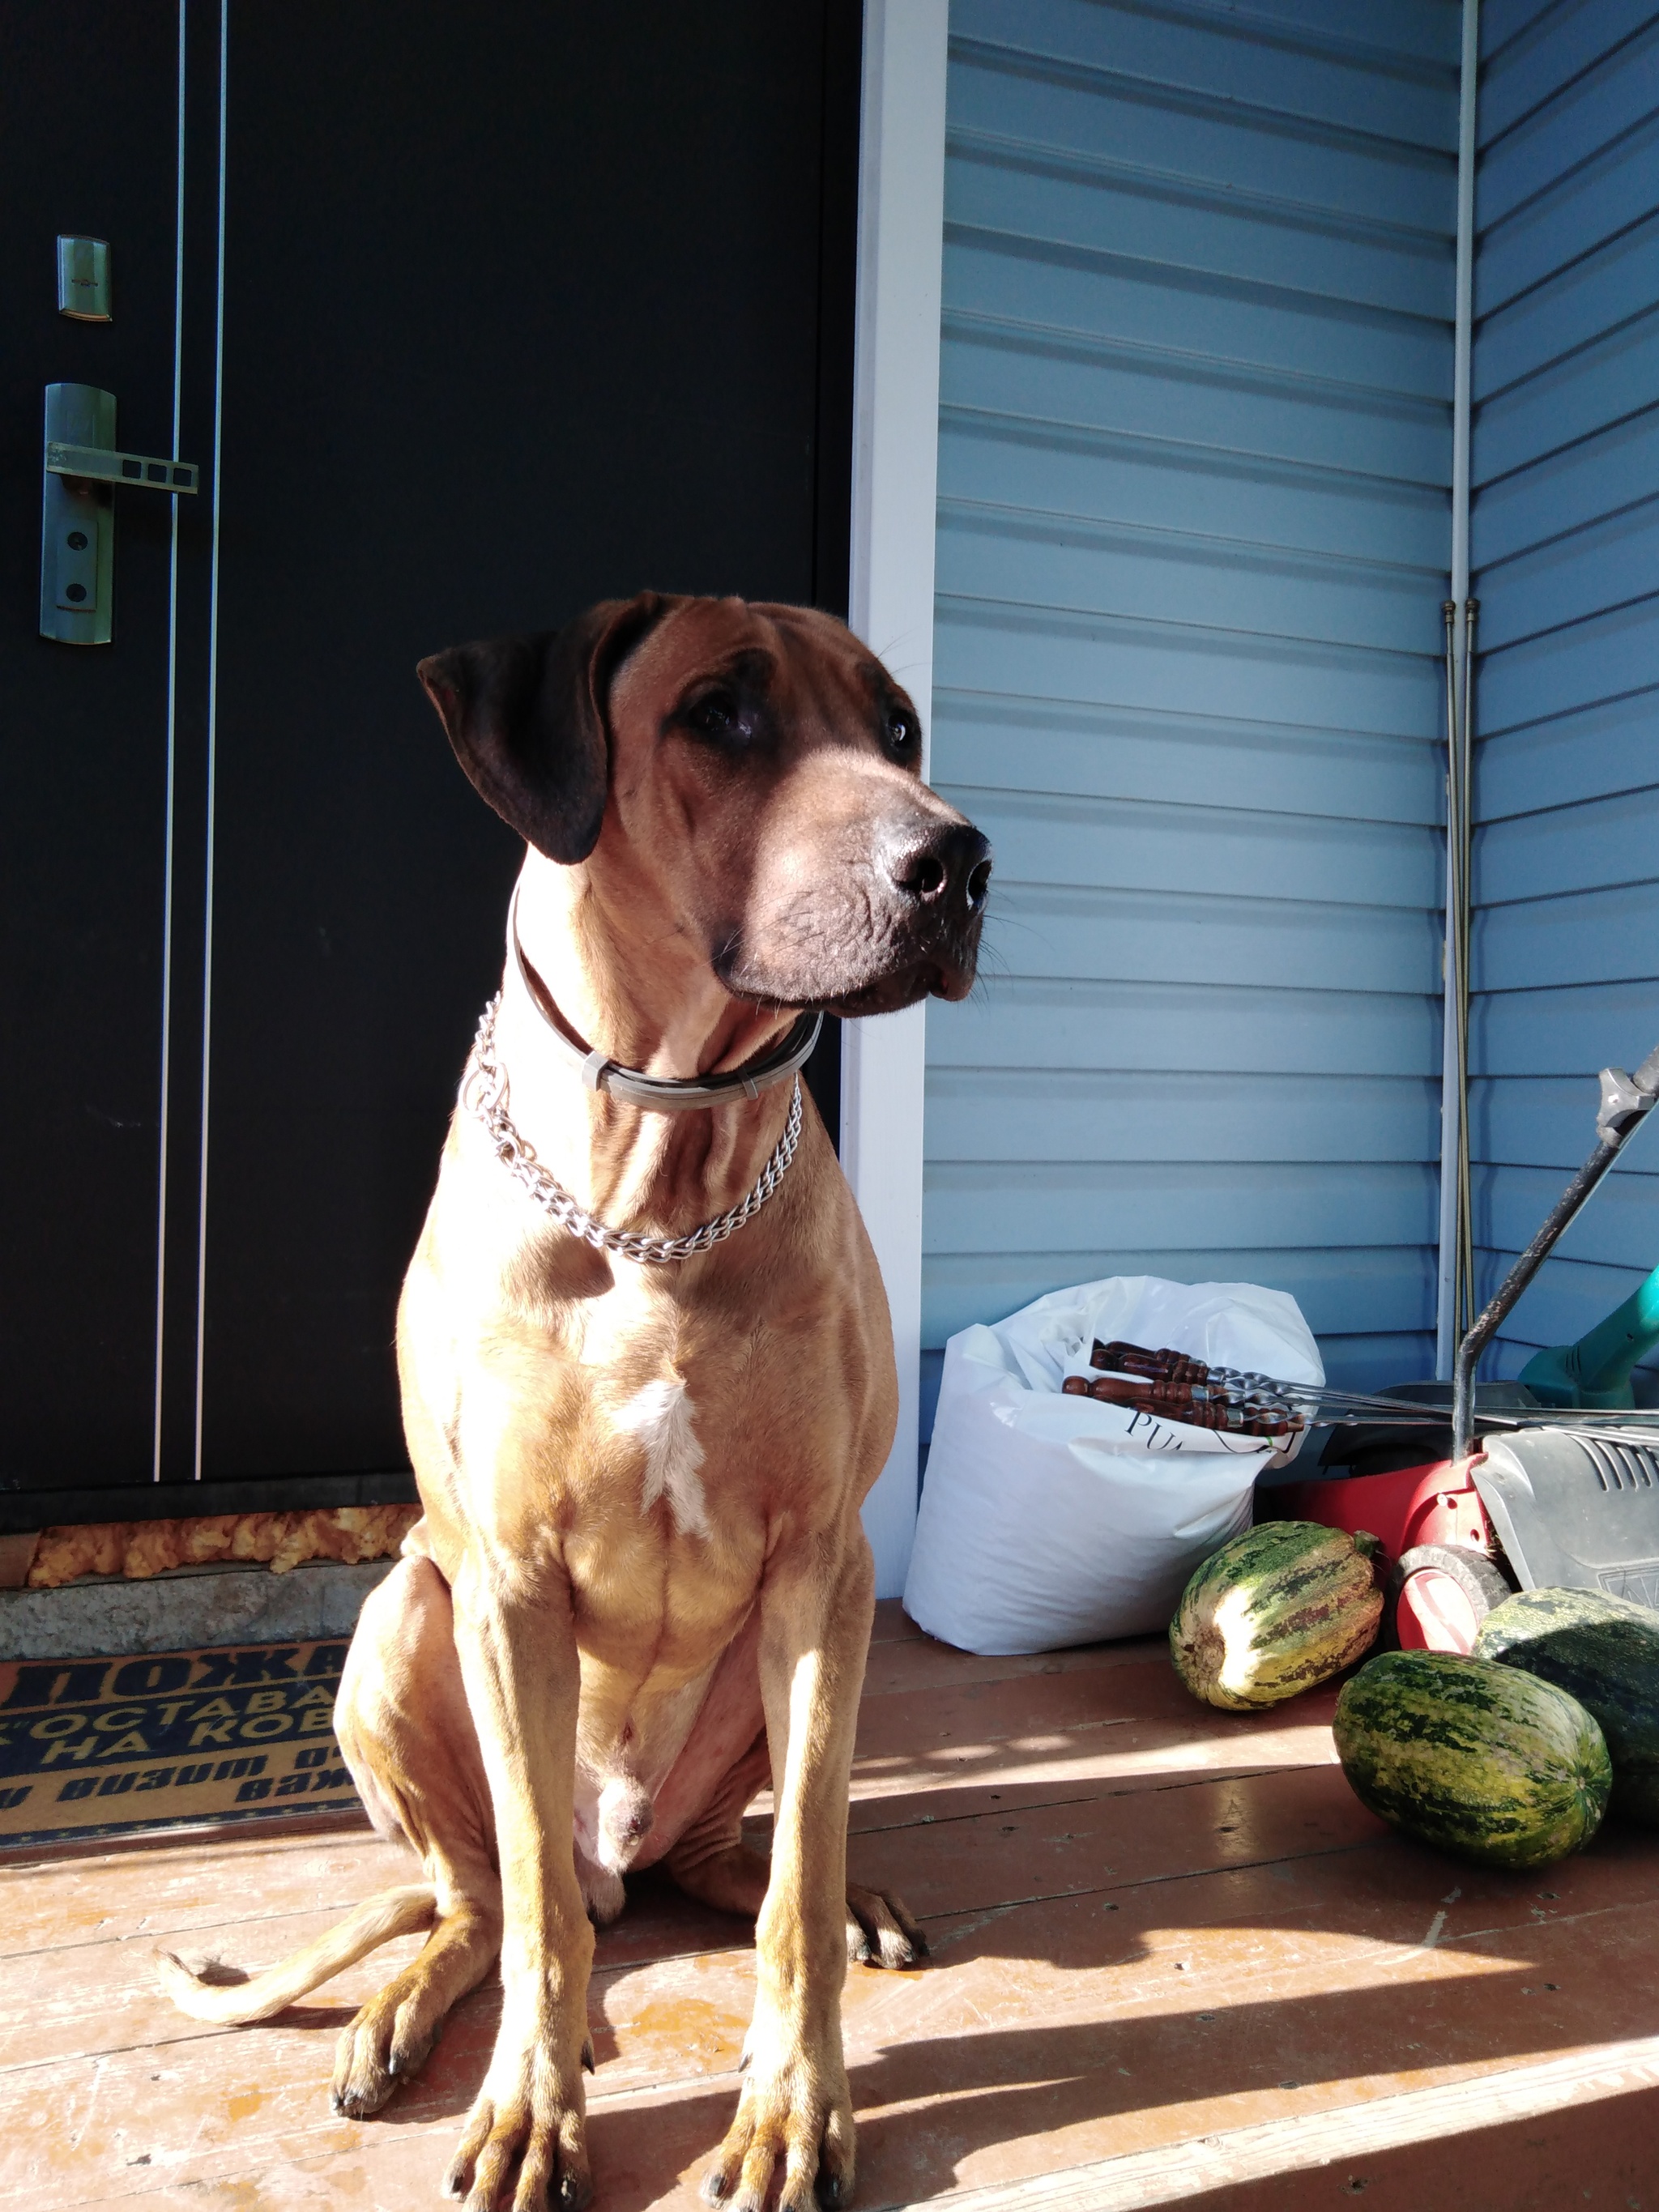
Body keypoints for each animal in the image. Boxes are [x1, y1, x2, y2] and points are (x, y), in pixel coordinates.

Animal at [156, 588, 995, 2212]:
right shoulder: (508, 1579)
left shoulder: (823, 1565)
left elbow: (796, 1880)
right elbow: (539, 1910)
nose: (959, 863)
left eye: (900, 727)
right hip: (399, 1625)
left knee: (733, 1859)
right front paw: (533, 2111)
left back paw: (823, 1898)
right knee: (487, 1893)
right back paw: (404, 2009)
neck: (655, 1185)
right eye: (721, 712)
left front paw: (794, 2107)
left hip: (770, 1670)